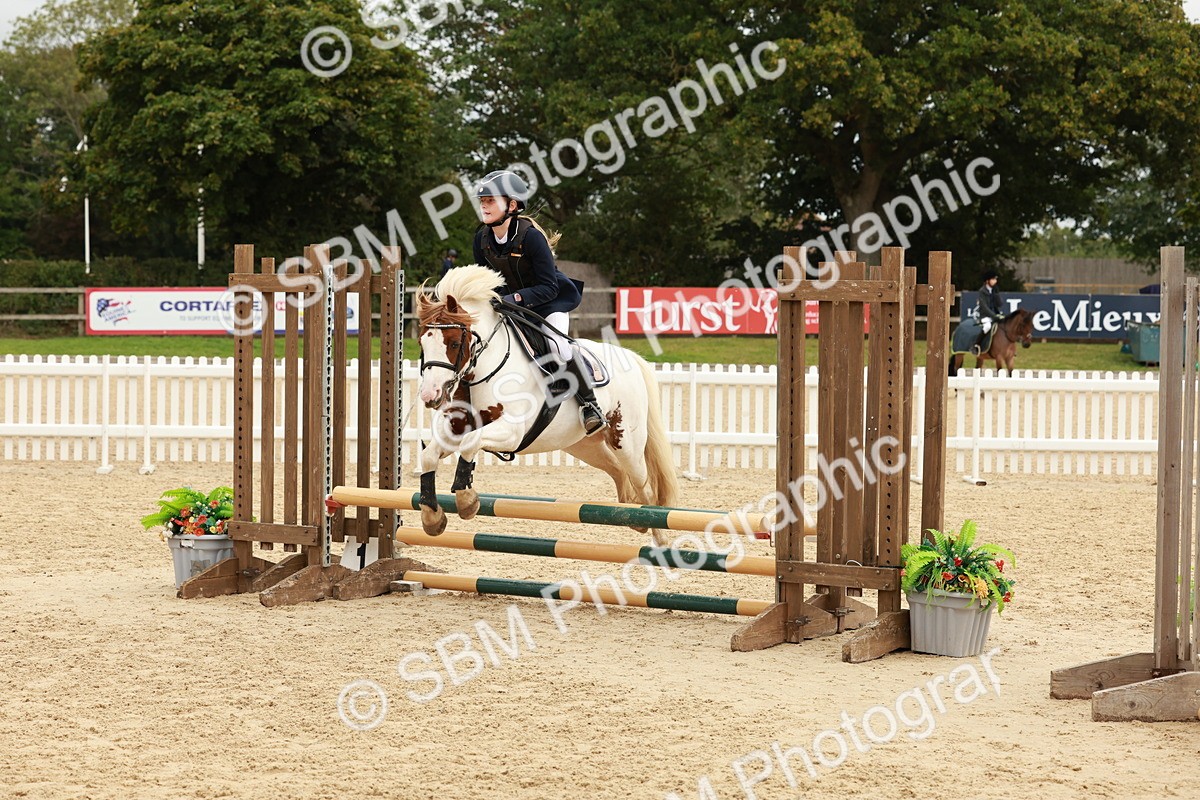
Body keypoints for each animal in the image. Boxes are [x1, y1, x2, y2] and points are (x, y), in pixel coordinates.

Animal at [415, 266, 679, 544]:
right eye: (422, 343)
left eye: (455, 343)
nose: (430, 395)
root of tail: (630, 357)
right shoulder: (458, 426)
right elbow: (429, 456)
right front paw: (432, 517)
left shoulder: (512, 431)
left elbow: (470, 443)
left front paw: (466, 501)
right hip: (584, 445)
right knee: (618, 472)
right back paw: (632, 519)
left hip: (626, 442)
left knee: (645, 488)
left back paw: (659, 538)